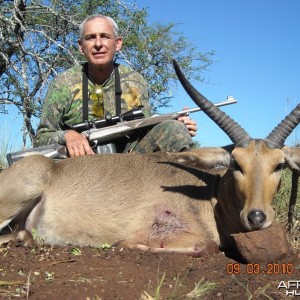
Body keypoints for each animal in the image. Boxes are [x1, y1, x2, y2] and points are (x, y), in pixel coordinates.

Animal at [0, 61, 298, 258]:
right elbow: (205, 246)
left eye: (279, 164)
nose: (257, 216)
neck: (208, 195)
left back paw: (26, 239)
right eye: (236, 163)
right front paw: (125, 244)